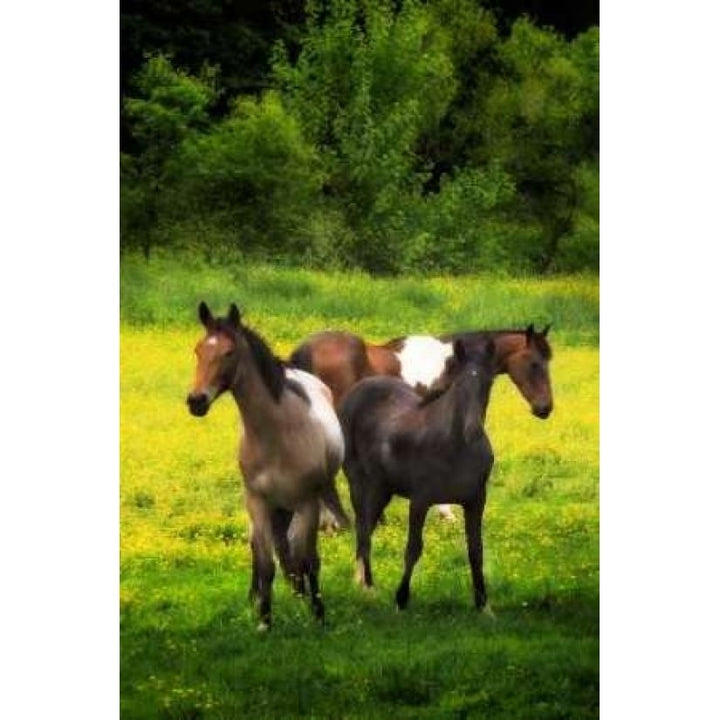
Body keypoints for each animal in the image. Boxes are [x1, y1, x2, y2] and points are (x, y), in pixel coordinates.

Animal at [187, 302, 348, 632]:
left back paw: (302, 595)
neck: (277, 433)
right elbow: (264, 563)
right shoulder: (258, 503)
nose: (196, 400)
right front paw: (264, 620)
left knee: (294, 553)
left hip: (293, 507)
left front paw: (319, 614)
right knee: (272, 551)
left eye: (229, 352)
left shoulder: (307, 503)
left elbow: (309, 559)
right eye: (198, 350)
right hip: (275, 508)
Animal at [338, 340, 496, 612]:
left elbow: (476, 551)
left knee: (367, 528)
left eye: (488, 383)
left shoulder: (476, 501)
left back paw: (360, 581)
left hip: (383, 490)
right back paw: (368, 587)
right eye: (460, 384)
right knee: (362, 529)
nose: (473, 430)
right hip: (359, 483)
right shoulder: (421, 500)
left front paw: (483, 606)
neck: (455, 448)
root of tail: (358, 389)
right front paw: (401, 600)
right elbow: (413, 548)